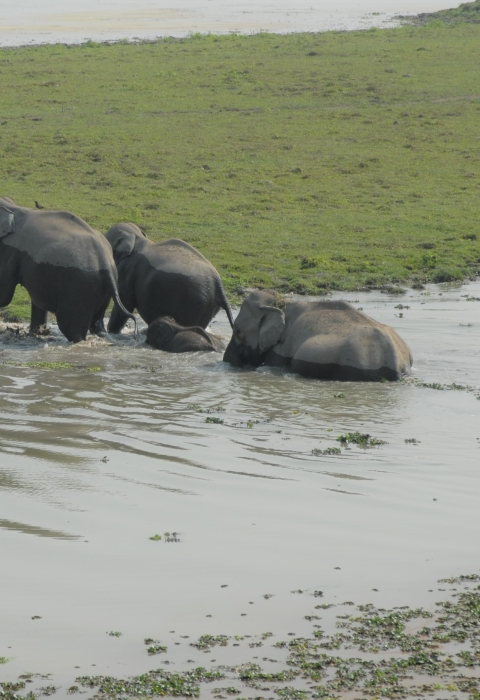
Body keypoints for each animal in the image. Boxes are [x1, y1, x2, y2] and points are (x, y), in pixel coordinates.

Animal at [0, 197, 136, 342]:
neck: (11, 207)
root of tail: (104, 261)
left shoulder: (9, 251)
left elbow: (4, 295)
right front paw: (36, 333)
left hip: (78, 287)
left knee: (71, 327)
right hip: (104, 287)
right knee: (97, 323)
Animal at [104, 223, 234, 334]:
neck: (137, 237)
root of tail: (218, 284)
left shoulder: (128, 270)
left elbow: (125, 303)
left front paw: (111, 333)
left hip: (195, 302)